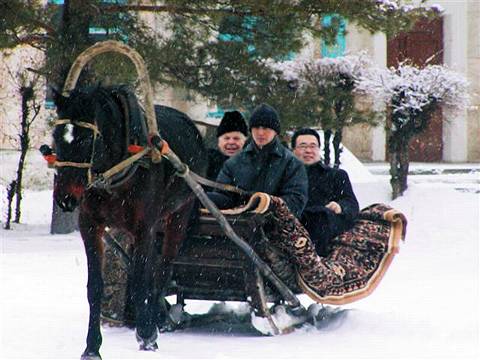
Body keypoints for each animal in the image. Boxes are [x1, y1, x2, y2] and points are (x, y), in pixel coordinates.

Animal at [46, 86, 207, 358]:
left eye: (86, 139)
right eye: (56, 135)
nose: (65, 198)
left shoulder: (144, 228)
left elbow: (143, 281)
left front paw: (147, 336)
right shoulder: (90, 226)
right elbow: (95, 286)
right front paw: (92, 346)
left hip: (178, 215)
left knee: (162, 270)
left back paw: (158, 321)